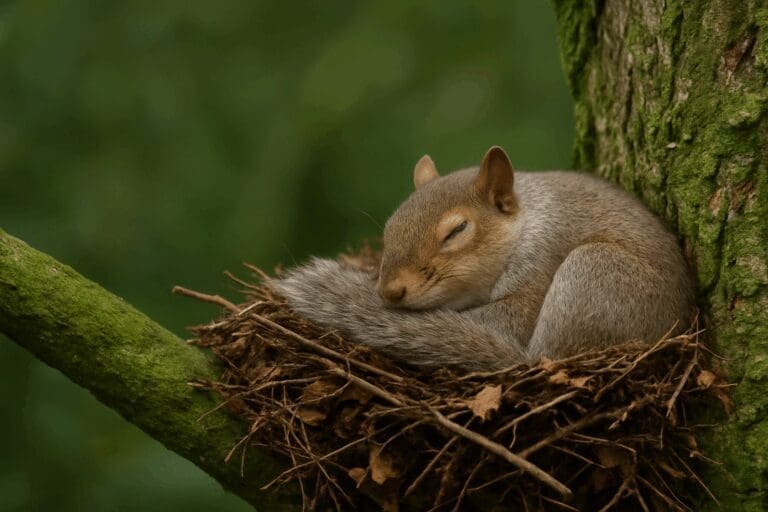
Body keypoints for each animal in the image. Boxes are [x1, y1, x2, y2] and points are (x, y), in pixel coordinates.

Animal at [271, 146, 694, 372]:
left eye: (457, 230)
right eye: (390, 226)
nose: (389, 292)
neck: (526, 223)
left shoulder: (542, 265)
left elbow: (509, 320)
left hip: (595, 272)